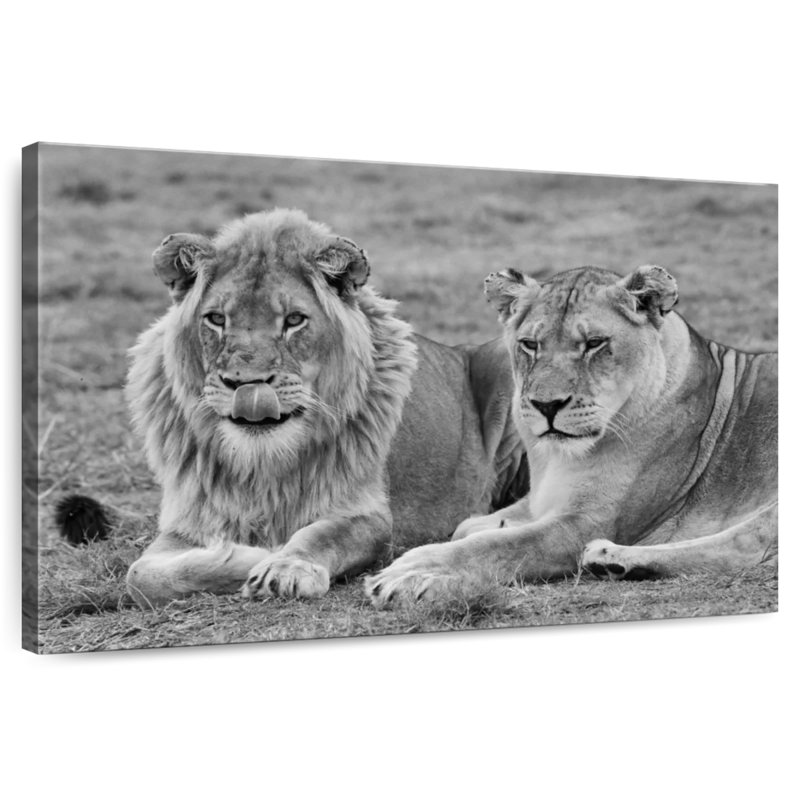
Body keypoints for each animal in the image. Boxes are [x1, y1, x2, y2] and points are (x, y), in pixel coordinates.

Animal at [121, 209, 526, 607]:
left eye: (294, 320)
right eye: (217, 319)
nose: (245, 384)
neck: (260, 461)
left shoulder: (367, 516)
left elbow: (318, 536)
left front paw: (283, 565)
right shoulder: (189, 521)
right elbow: (141, 576)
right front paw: (243, 553)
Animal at [366, 264, 778, 605]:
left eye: (594, 343)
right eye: (530, 344)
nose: (547, 405)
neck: (555, 457)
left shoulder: (586, 522)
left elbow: (495, 546)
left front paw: (411, 572)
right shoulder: (541, 500)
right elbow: (468, 528)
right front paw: (493, 525)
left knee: (746, 543)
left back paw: (609, 557)